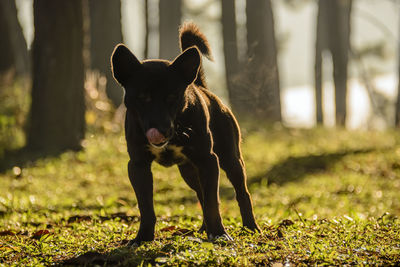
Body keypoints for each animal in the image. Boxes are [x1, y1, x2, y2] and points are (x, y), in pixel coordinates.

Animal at [110, 22, 260, 245]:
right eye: (143, 97)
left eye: (172, 96)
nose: (160, 130)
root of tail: (200, 85)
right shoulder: (138, 166)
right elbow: (146, 207)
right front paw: (143, 238)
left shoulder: (209, 160)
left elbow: (213, 202)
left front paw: (219, 233)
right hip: (189, 171)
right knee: (200, 195)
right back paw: (204, 228)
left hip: (231, 160)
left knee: (242, 193)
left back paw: (250, 227)